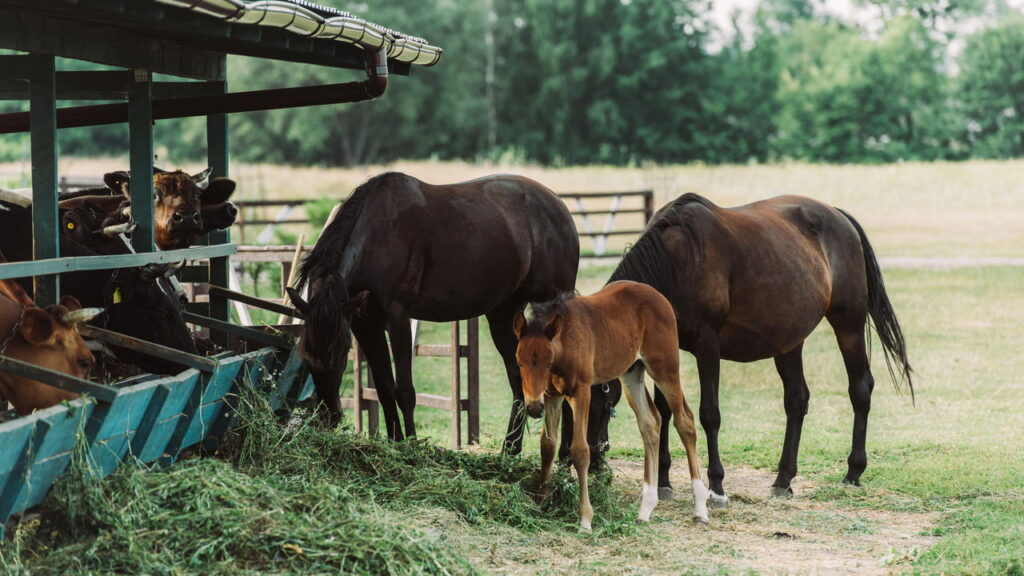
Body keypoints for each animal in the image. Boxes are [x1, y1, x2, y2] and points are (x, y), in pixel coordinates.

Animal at [288, 172, 579, 451]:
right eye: (307, 354)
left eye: (341, 351)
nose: (330, 416)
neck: (377, 236)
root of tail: (559, 206)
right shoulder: (365, 324)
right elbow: (384, 388)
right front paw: (395, 442)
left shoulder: (397, 317)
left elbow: (404, 390)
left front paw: (412, 444)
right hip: (503, 313)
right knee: (517, 377)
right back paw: (510, 448)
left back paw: (565, 454)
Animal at [514, 282, 710, 530]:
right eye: (520, 361)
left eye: (547, 362)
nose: (532, 408)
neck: (566, 339)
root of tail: (658, 296)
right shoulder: (551, 395)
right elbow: (547, 445)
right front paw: (541, 503)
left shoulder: (581, 392)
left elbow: (581, 450)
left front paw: (585, 518)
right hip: (632, 372)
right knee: (650, 422)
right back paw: (645, 509)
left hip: (664, 367)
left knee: (684, 421)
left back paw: (700, 509)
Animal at [560, 193, 913, 506]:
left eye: (593, 405)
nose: (579, 462)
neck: (675, 262)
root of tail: (840, 218)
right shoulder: (662, 348)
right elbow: (664, 410)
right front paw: (663, 482)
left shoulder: (707, 346)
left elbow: (709, 414)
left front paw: (716, 486)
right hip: (788, 340)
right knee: (796, 401)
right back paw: (783, 480)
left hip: (848, 324)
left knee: (860, 389)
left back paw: (853, 472)